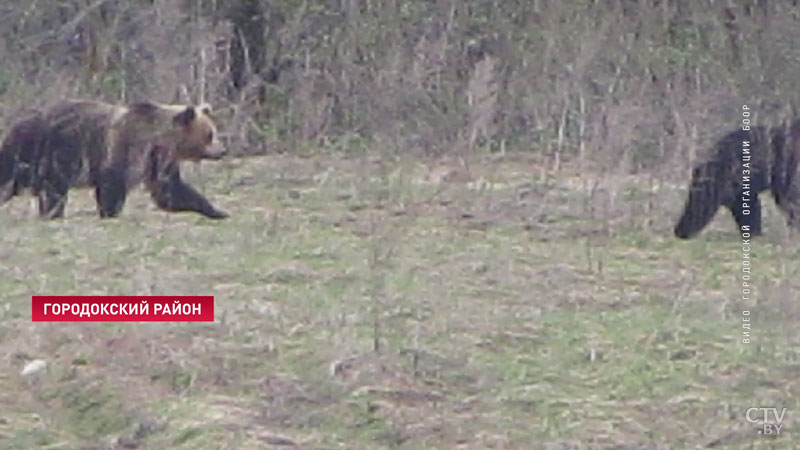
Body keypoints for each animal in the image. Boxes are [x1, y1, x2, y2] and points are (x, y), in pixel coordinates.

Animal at [0, 98, 228, 220]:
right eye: (210, 134)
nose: (223, 150)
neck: (160, 138)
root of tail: (16, 124)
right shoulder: (126, 148)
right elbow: (113, 184)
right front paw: (110, 212)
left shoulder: (158, 161)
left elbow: (170, 190)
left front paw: (217, 211)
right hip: (48, 152)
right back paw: (53, 213)